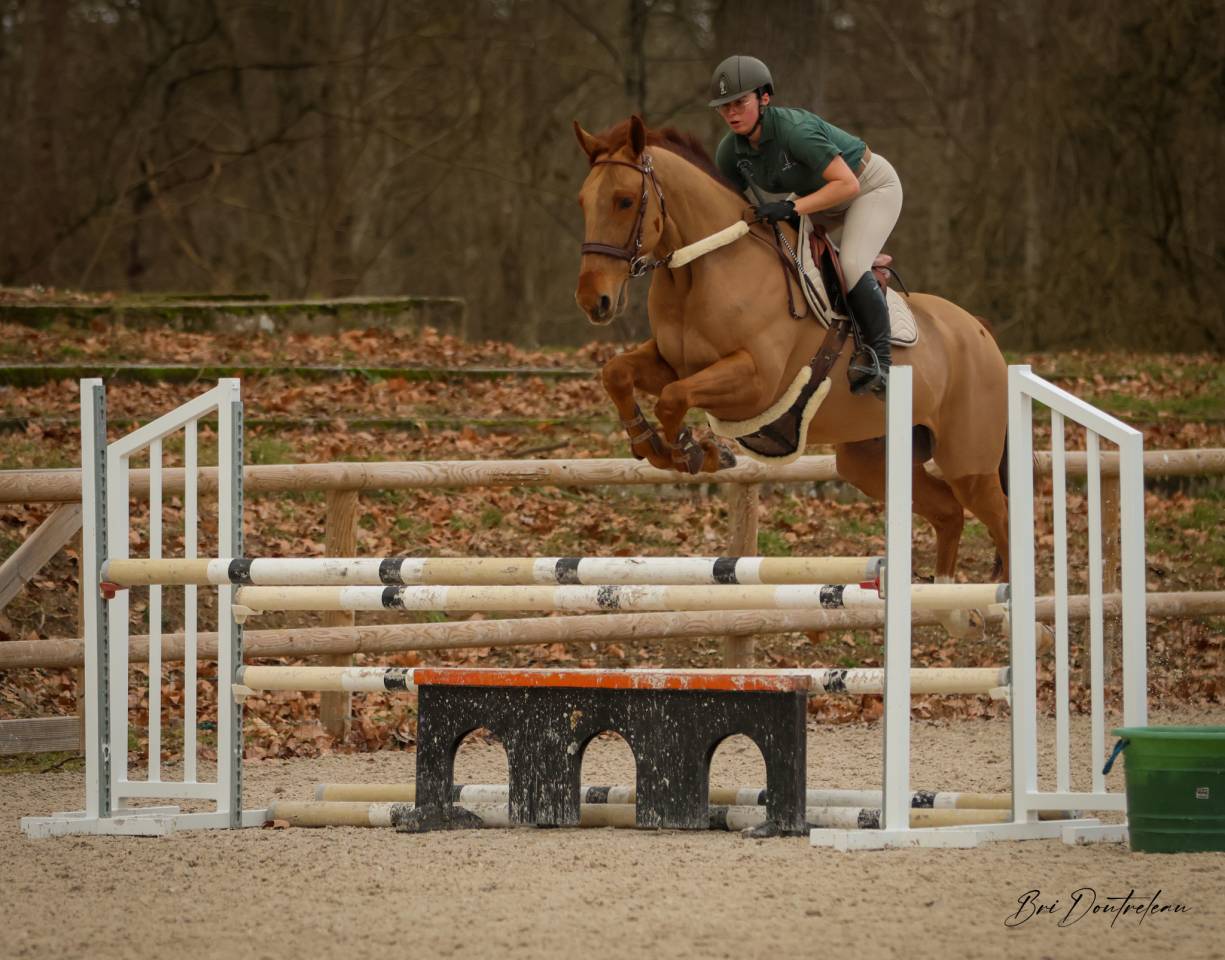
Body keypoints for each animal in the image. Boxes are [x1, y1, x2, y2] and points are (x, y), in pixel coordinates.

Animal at [572, 115, 1011, 605]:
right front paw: (652, 445)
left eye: (625, 200)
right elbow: (618, 374)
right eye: (583, 201)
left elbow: (672, 398)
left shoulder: (756, 381)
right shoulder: (674, 362)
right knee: (949, 513)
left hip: (968, 463)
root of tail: (979, 332)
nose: (594, 301)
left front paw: (695, 451)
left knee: (1001, 520)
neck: (701, 270)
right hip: (871, 460)